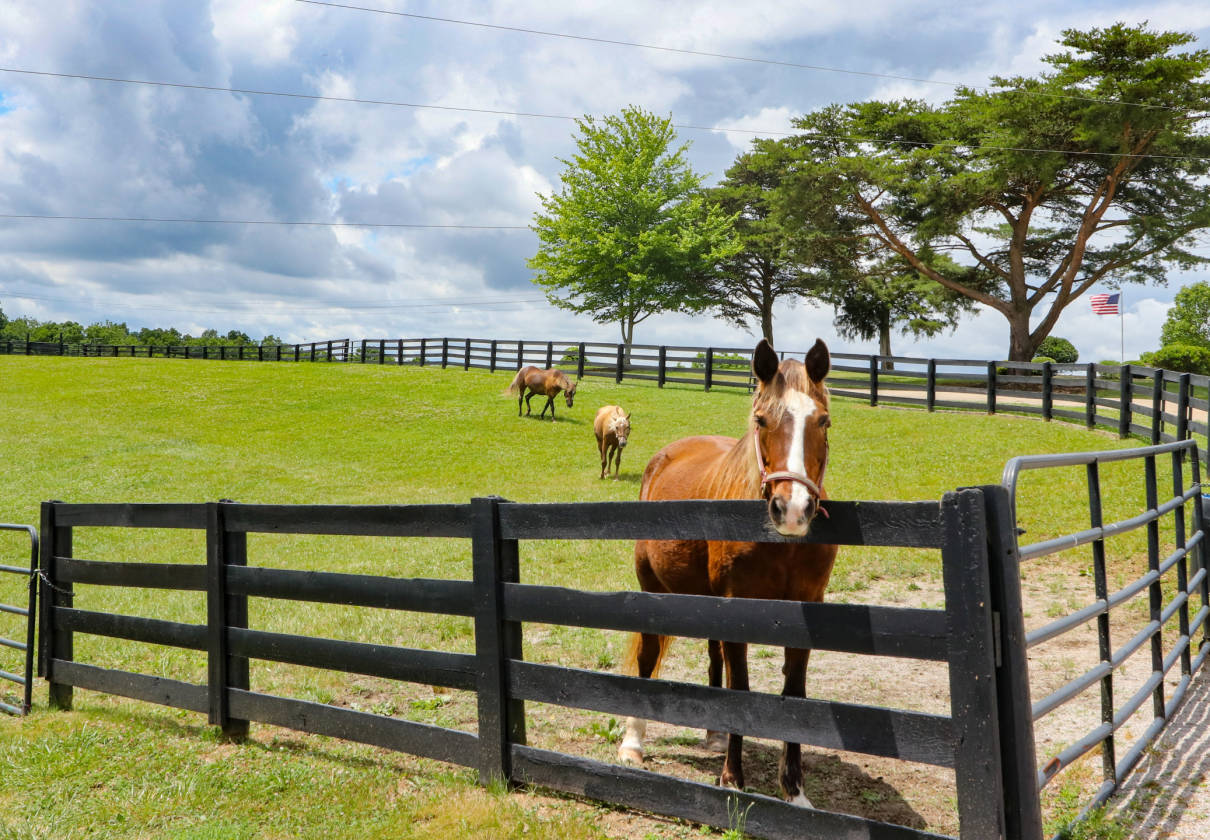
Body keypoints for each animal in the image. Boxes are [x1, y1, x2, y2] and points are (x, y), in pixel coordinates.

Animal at [618, 337, 836, 809]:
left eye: (823, 420)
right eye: (761, 419)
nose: (792, 509)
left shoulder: (805, 610)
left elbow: (794, 695)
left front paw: (795, 791)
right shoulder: (739, 606)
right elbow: (742, 689)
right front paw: (733, 779)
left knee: (714, 654)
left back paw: (716, 733)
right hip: (652, 589)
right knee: (647, 657)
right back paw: (633, 743)